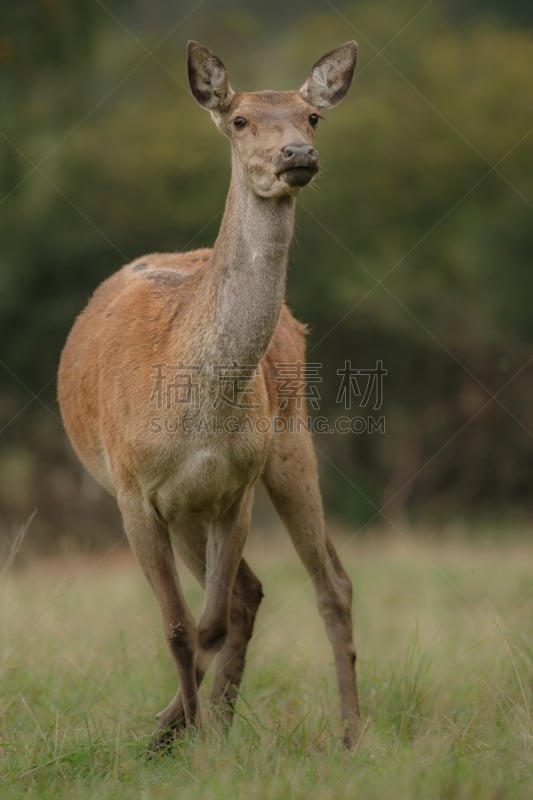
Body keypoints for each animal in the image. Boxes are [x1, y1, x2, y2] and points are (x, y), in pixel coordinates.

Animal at [57, 39, 358, 752]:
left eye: (312, 116)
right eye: (241, 119)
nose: (297, 155)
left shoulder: (235, 487)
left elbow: (209, 623)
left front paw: (197, 738)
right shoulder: (135, 491)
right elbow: (178, 627)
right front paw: (191, 733)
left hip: (290, 442)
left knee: (326, 583)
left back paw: (350, 733)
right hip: (184, 504)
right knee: (250, 593)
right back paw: (194, 723)